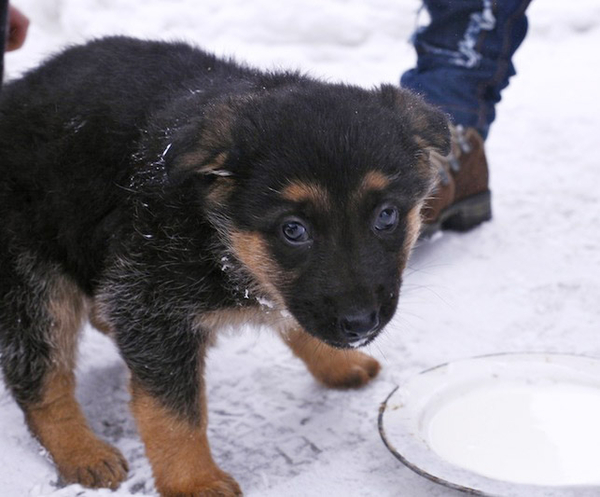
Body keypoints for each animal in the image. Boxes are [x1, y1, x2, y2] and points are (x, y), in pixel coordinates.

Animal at [0, 36, 450, 494]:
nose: (360, 325)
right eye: (294, 230)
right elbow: (173, 412)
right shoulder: (151, 305)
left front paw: (335, 363)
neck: (215, 232)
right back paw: (82, 451)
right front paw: (194, 481)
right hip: (32, 275)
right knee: (40, 375)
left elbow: (294, 315)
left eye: (386, 216)